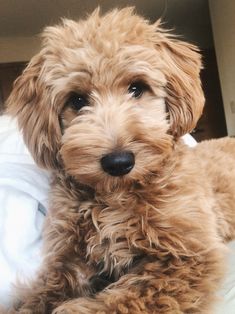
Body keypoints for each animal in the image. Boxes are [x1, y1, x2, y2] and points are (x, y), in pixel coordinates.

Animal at [3, 6, 235, 314]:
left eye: (137, 88)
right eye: (77, 100)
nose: (118, 162)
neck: (115, 196)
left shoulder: (188, 253)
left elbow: (134, 293)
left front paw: (75, 308)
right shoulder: (69, 256)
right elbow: (46, 288)